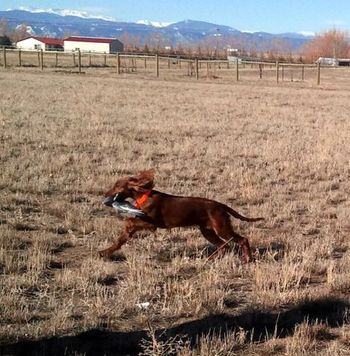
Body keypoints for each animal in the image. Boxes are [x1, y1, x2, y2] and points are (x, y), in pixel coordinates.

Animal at [99, 171, 262, 262]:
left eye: (117, 186)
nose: (105, 194)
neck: (144, 196)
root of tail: (220, 205)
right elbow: (121, 238)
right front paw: (105, 251)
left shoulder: (152, 225)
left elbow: (130, 221)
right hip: (207, 231)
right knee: (224, 246)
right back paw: (210, 259)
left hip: (222, 228)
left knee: (242, 240)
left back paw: (248, 259)